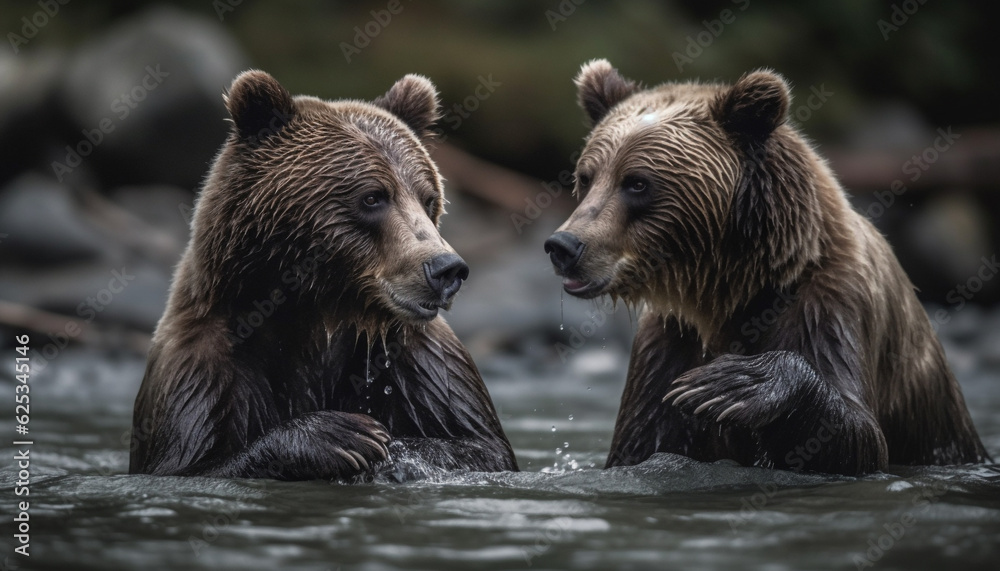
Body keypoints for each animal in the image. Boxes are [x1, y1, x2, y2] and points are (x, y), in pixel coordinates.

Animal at [129, 70, 517, 480]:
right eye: (373, 197)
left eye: (429, 199)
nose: (445, 268)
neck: (319, 308)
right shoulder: (199, 369)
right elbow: (193, 464)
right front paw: (344, 435)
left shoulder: (417, 357)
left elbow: (480, 446)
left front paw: (391, 453)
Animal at [544, 59, 990, 476]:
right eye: (586, 177)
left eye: (637, 182)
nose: (564, 245)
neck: (736, 287)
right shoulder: (667, 341)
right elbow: (642, 439)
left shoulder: (832, 302)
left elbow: (859, 438)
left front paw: (732, 383)